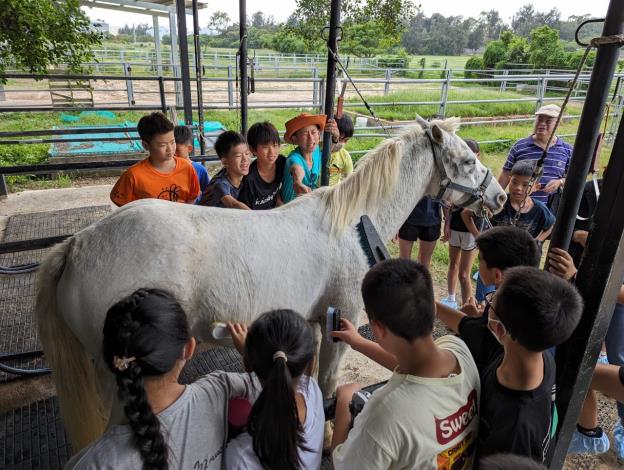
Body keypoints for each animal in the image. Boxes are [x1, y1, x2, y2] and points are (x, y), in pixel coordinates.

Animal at [35, 115, 508, 450]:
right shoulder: (342, 322)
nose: (500, 197)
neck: (351, 226)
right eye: (468, 161)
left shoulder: (315, 322)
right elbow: (327, 383)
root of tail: (77, 245)